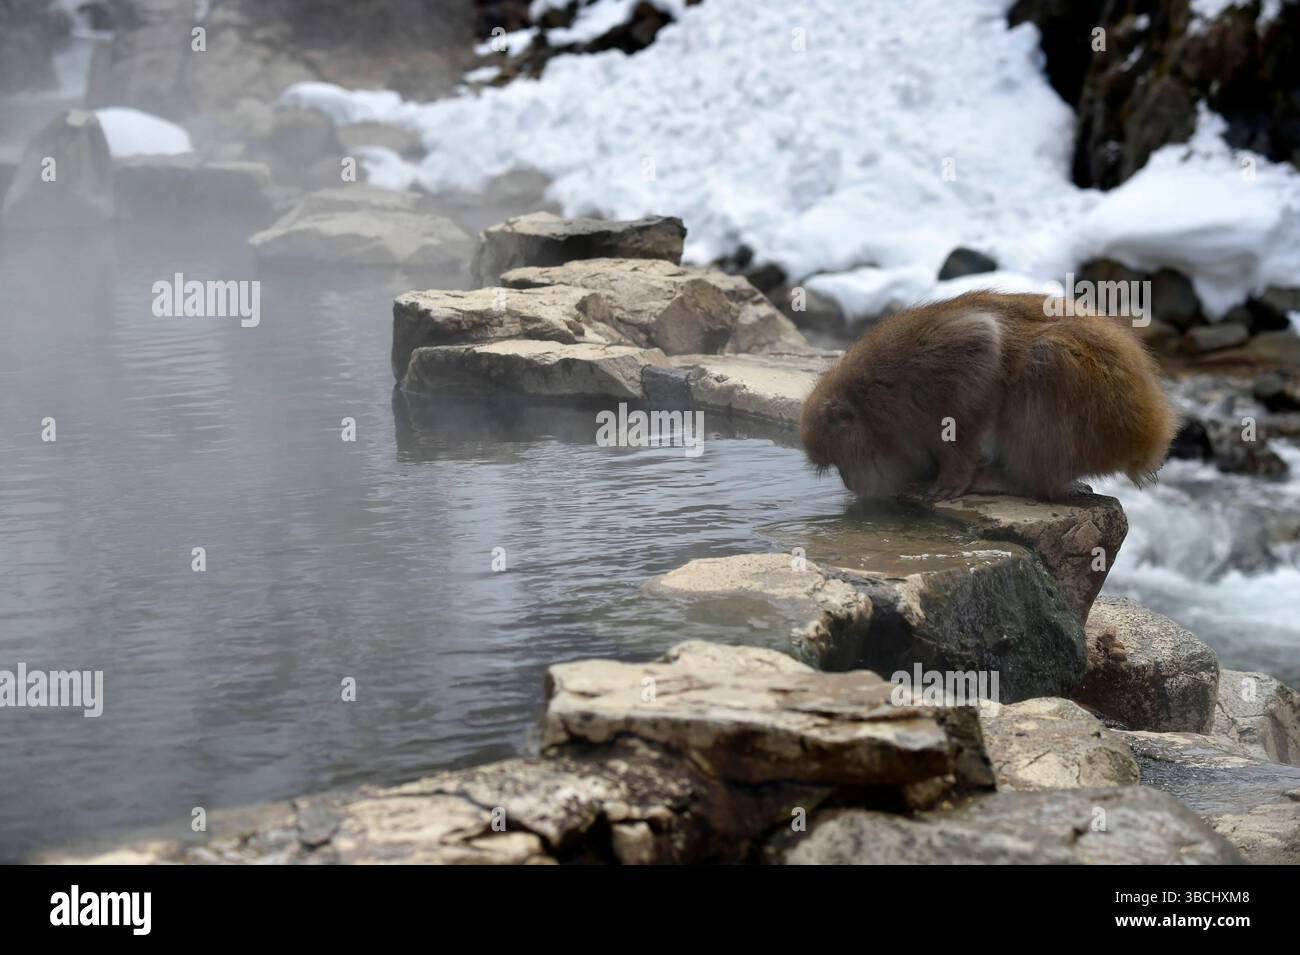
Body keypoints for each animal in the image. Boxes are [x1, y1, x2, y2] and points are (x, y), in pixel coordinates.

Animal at [800, 291, 1177, 502]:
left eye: (840, 461)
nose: (849, 482)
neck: (874, 408)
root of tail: (1152, 434)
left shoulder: (919, 367)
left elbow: (981, 342)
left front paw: (954, 475)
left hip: (1104, 415)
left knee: (1046, 358)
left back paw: (1022, 482)